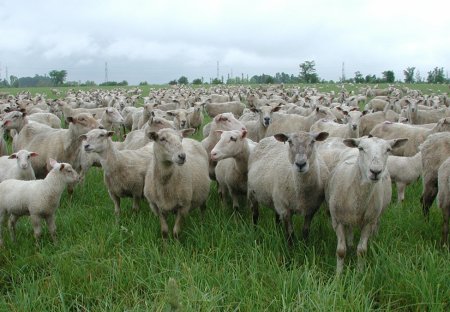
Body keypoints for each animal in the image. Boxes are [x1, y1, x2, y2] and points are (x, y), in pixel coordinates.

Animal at [326, 136, 410, 272]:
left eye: (388, 149)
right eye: (361, 148)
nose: (375, 171)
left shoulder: (368, 222)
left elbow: (361, 251)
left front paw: (360, 273)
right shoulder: (337, 221)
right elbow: (340, 251)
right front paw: (338, 274)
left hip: (377, 214)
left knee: (377, 224)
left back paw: (373, 239)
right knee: (350, 229)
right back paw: (350, 243)